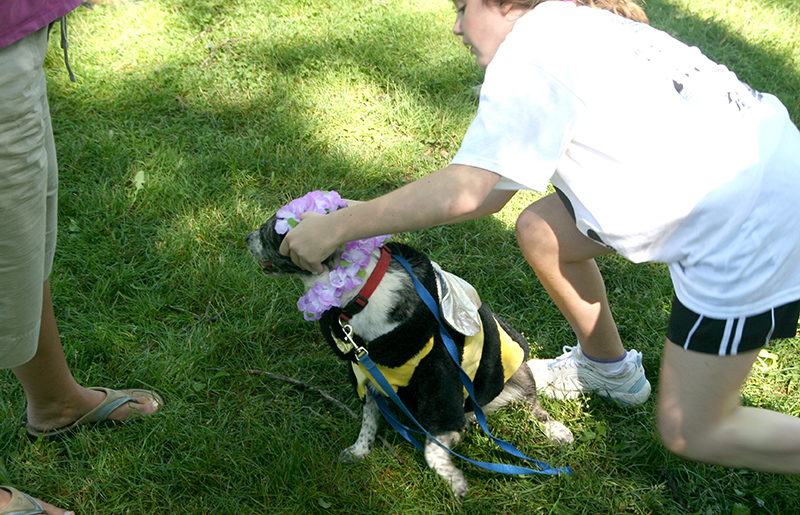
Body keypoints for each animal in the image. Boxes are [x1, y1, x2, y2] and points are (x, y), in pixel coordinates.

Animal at [247, 214, 572, 500]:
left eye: (271, 230)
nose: (247, 237)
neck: (359, 295)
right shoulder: (367, 373)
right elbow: (369, 420)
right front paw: (360, 450)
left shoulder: (440, 382)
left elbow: (432, 448)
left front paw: (452, 479)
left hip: (517, 370)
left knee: (532, 403)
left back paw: (555, 429)